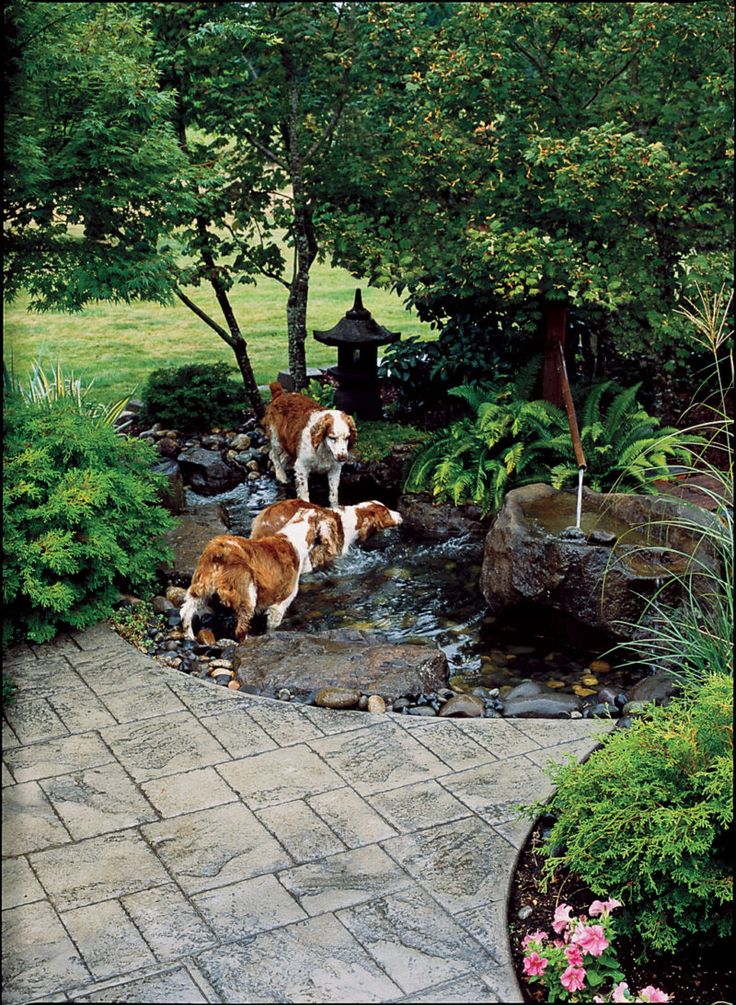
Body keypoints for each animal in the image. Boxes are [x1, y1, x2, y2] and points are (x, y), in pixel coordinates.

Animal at [178, 510, 325, 643]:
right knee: (240, 630)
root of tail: (220, 550)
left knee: (185, 612)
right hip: (247, 594)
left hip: (202, 588)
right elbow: (272, 625)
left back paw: (190, 636)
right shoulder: (281, 602)